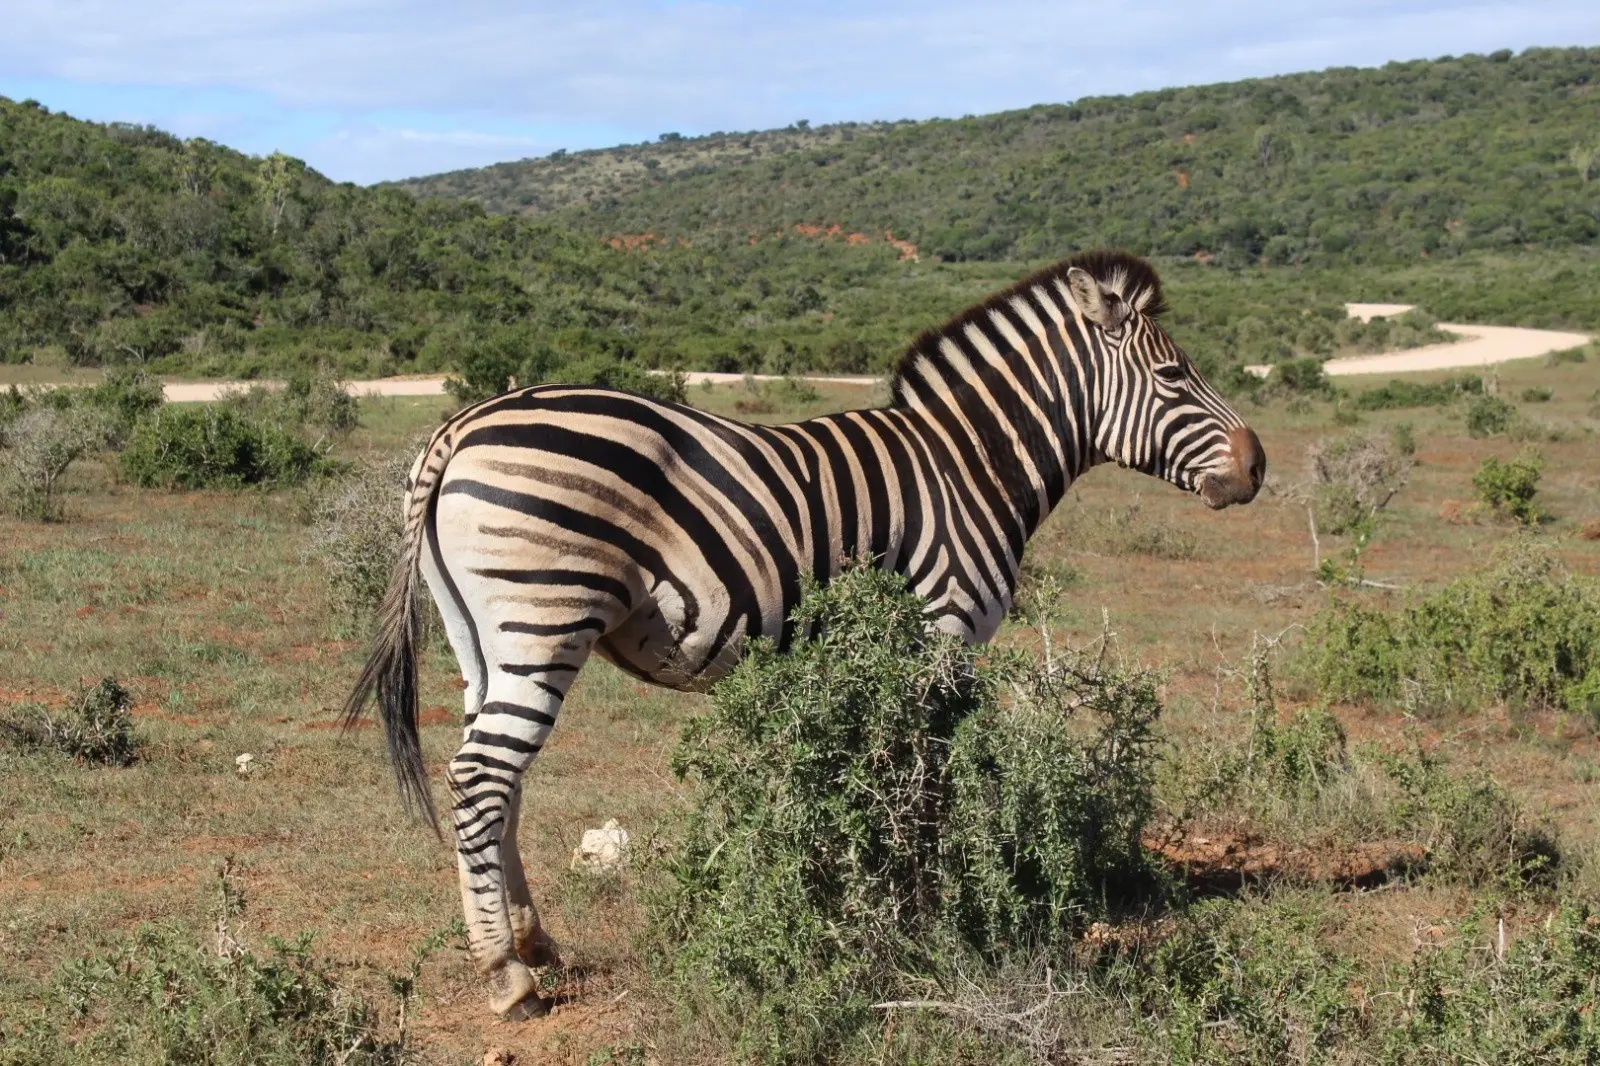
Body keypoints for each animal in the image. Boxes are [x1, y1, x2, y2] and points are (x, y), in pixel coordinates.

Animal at [344, 248, 1265, 1019]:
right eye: (1174, 374)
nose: (1258, 466)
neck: (970, 467)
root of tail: (459, 427)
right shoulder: (941, 628)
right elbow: (925, 783)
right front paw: (925, 919)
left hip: (485, 640)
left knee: (498, 780)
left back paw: (535, 944)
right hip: (545, 615)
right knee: (481, 777)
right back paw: (507, 976)